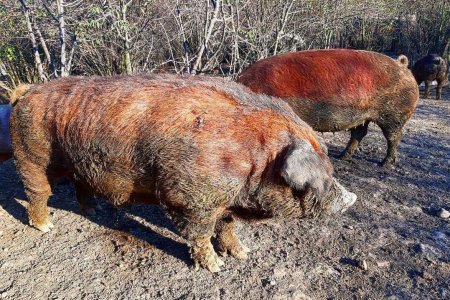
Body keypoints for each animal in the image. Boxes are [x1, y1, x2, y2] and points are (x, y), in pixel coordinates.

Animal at [8, 74, 356, 272]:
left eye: (329, 165)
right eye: (321, 176)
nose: (351, 198)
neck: (255, 160)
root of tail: (25, 92)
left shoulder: (225, 200)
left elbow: (227, 226)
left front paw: (243, 254)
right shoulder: (190, 199)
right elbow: (200, 234)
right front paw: (216, 268)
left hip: (78, 161)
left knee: (81, 185)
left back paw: (92, 211)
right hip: (31, 153)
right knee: (38, 190)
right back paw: (46, 227)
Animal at [237, 49, 420, 166]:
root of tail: (403, 66)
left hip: (394, 115)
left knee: (393, 137)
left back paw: (384, 164)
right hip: (363, 116)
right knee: (359, 133)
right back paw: (342, 157)